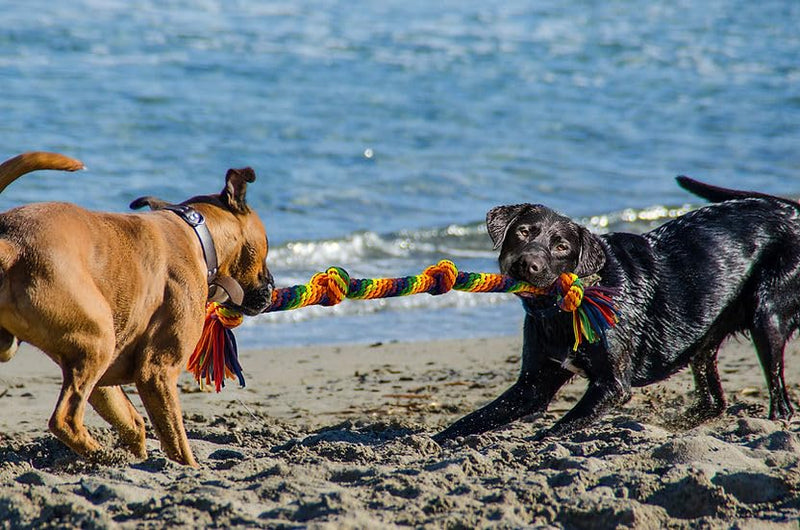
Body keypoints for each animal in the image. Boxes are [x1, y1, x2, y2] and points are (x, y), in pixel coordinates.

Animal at [0, 151, 274, 464]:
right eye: (267, 247)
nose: (272, 287)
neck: (197, 233)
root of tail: (11, 246)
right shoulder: (157, 371)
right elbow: (177, 440)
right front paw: (190, 468)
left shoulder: (104, 379)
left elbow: (132, 421)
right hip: (99, 342)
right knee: (65, 420)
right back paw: (102, 456)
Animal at [438, 175, 800, 440]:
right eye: (523, 232)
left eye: (562, 246)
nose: (529, 264)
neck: (565, 309)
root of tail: (791, 209)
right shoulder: (533, 385)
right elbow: (475, 418)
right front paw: (435, 442)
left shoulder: (612, 386)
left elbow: (558, 427)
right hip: (705, 341)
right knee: (714, 401)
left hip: (767, 314)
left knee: (780, 398)